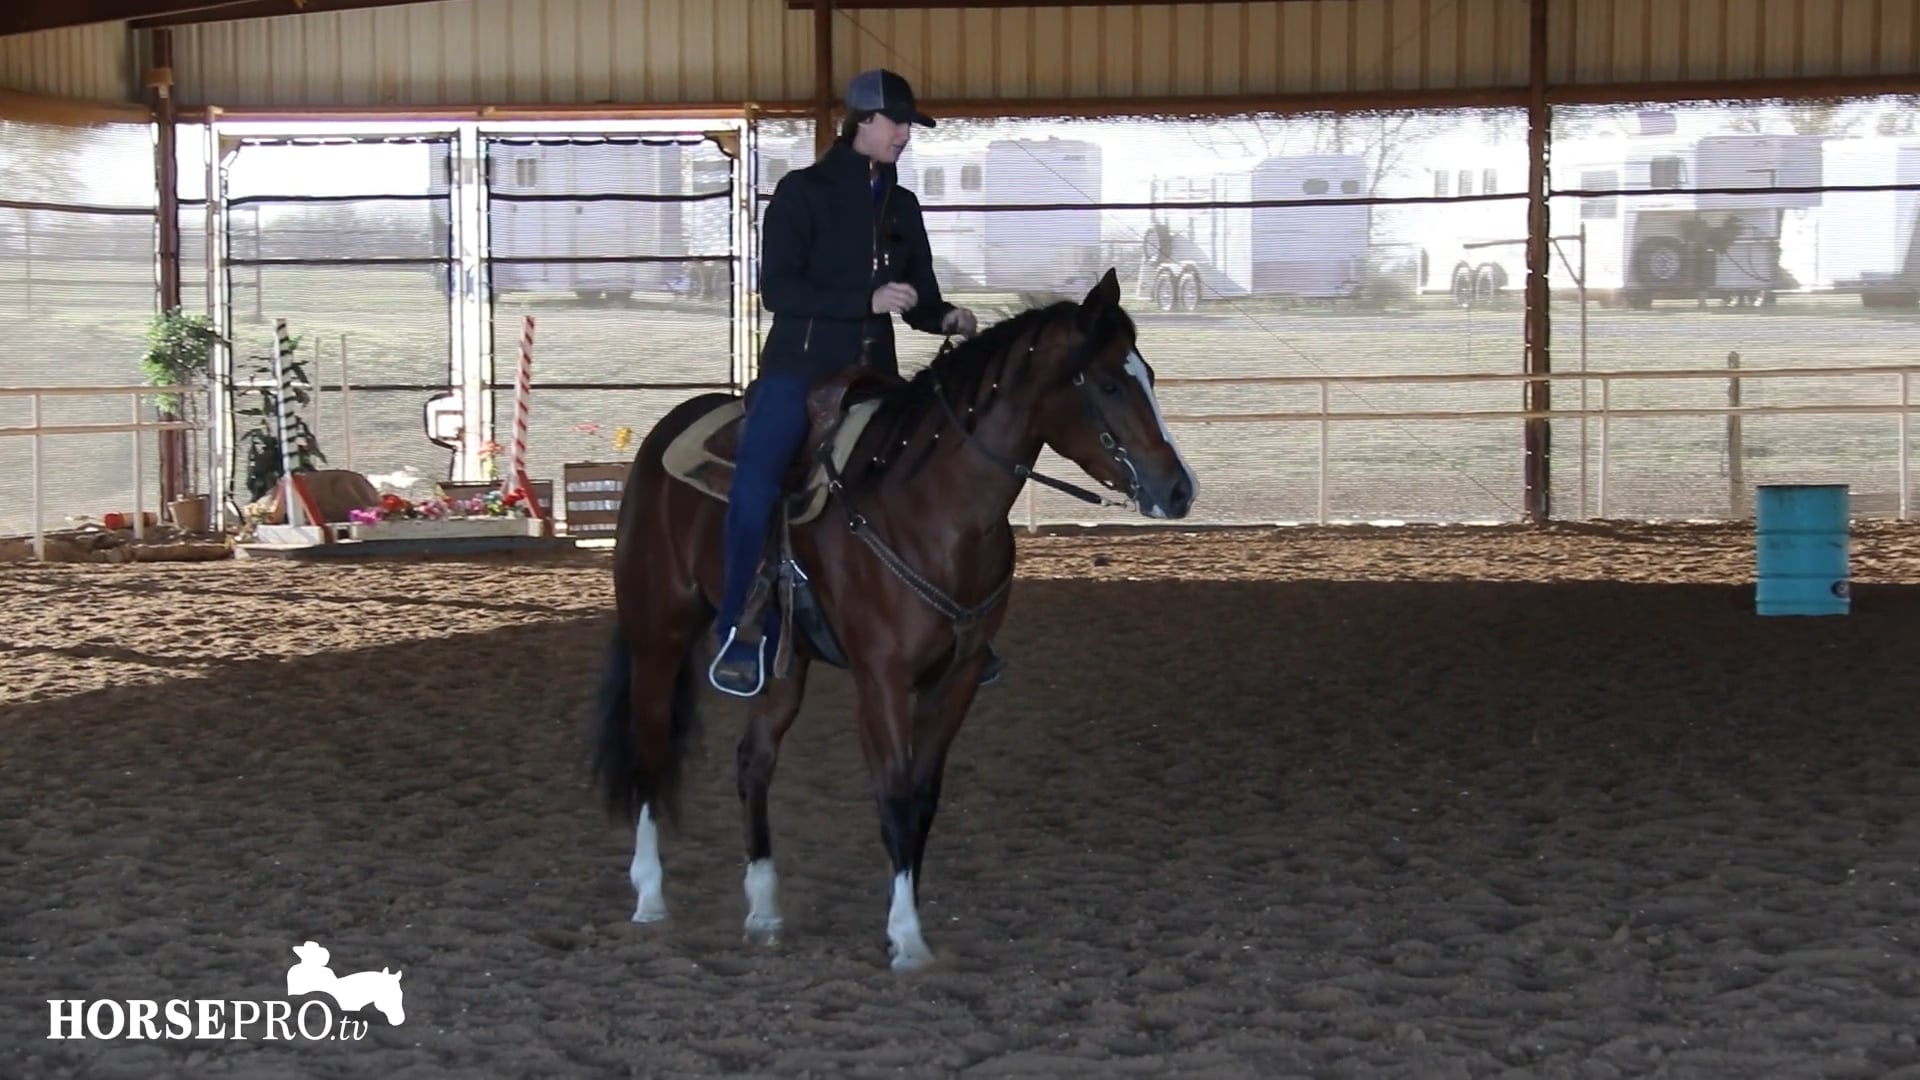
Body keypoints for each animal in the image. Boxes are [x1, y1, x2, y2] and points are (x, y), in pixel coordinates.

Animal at [589, 267, 1198, 970]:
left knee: (753, 761)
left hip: (783, 662)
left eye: (1146, 372)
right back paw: (650, 896)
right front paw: (906, 935)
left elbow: (924, 798)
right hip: (656, 632)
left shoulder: (957, 677)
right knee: (652, 746)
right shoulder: (881, 679)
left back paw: (764, 908)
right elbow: (894, 793)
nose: (1180, 490)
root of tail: (663, 431)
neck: (934, 509)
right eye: (1108, 383)